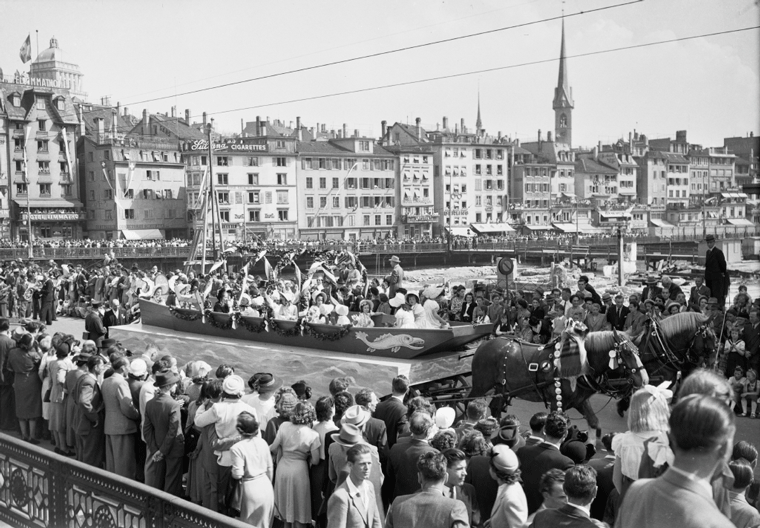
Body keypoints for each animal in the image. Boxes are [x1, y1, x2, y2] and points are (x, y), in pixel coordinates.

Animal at [470, 318, 648, 438]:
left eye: (638, 350)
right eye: (626, 353)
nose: (644, 379)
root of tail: (483, 345)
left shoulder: (581, 401)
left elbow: (595, 424)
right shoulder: (557, 403)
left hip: (502, 388)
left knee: (495, 408)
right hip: (480, 385)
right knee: (469, 403)